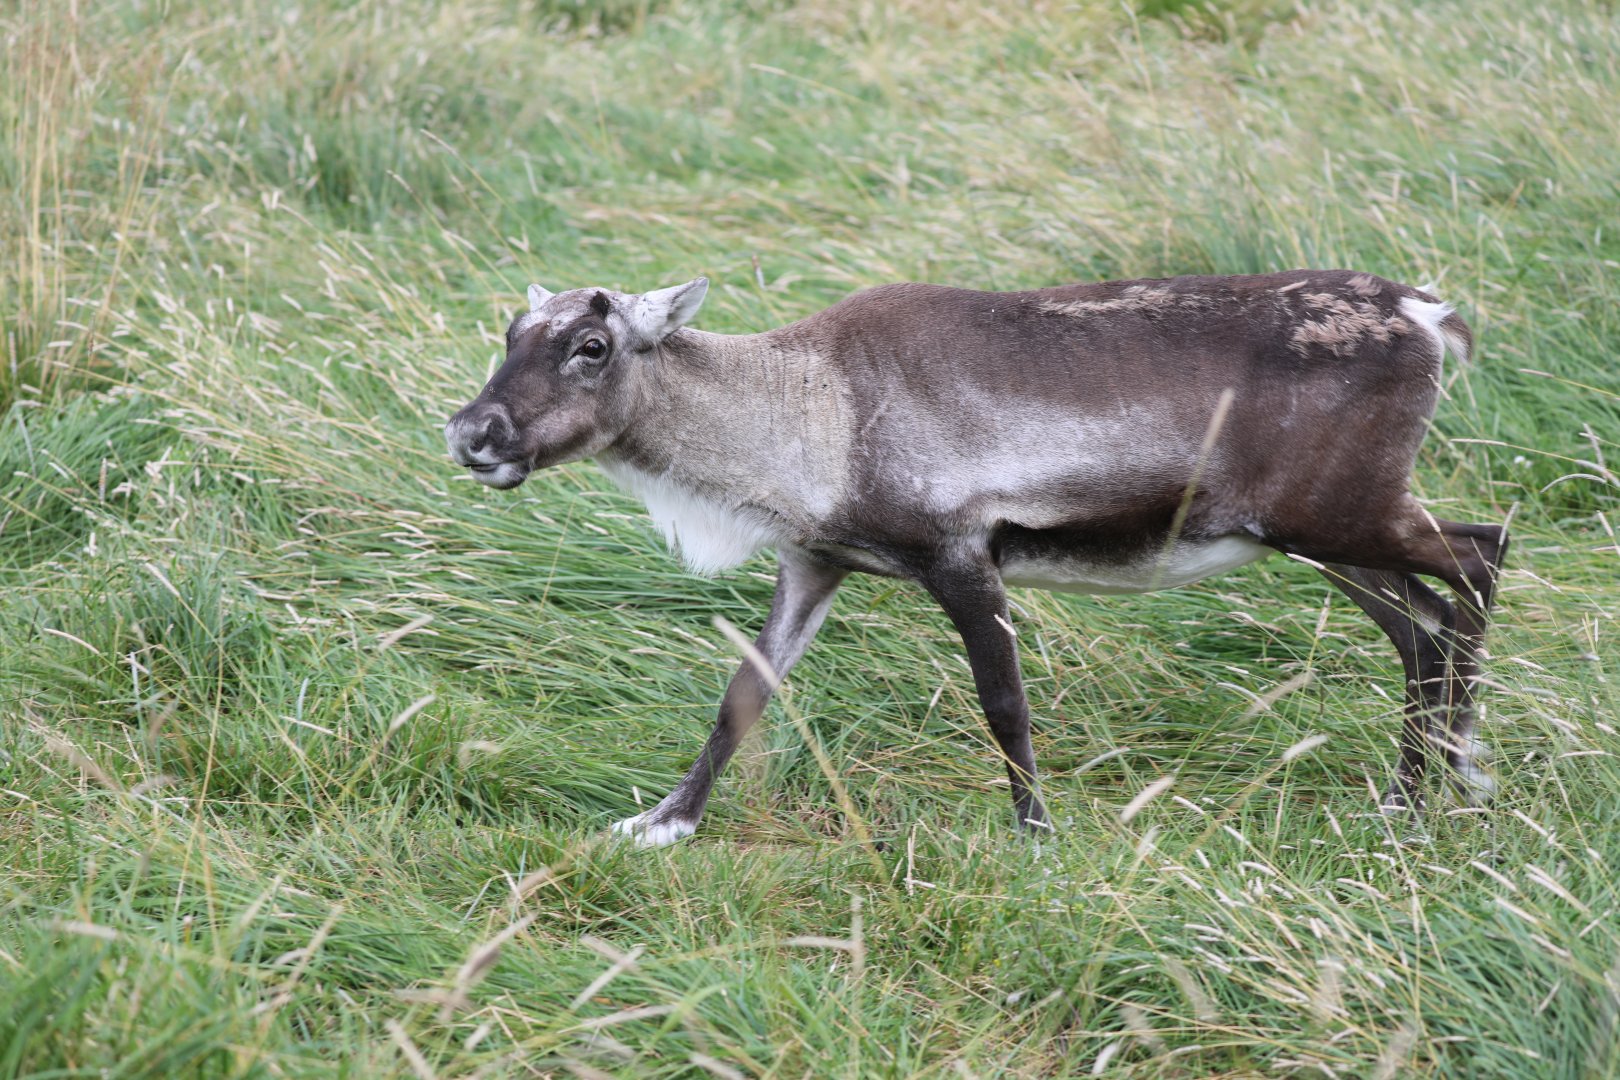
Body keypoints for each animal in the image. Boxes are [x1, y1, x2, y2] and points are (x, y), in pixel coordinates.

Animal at [445, 270, 1506, 847]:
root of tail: (1430, 315)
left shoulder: (962, 555)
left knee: (1481, 556)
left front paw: (1037, 836)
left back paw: (1461, 774)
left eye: (591, 344)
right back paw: (1410, 799)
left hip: (1344, 515)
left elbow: (1005, 704)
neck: (810, 414)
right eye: (510, 332)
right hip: (1312, 534)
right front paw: (663, 821)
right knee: (1422, 627)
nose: (472, 432)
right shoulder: (815, 562)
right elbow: (741, 697)